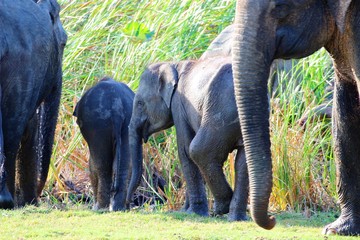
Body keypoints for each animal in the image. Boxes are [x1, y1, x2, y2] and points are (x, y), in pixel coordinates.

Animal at [74, 78, 134, 211]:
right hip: (128, 122)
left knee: (102, 166)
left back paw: (99, 208)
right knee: (124, 166)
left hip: (98, 124)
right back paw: (118, 208)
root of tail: (117, 108)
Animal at [125, 56, 249, 221]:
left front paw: (193, 212)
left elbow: (184, 149)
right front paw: (186, 210)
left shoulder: (178, 104)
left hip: (219, 113)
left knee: (199, 151)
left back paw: (221, 207)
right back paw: (236, 217)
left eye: (139, 103)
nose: (128, 206)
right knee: (244, 159)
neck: (174, 64)